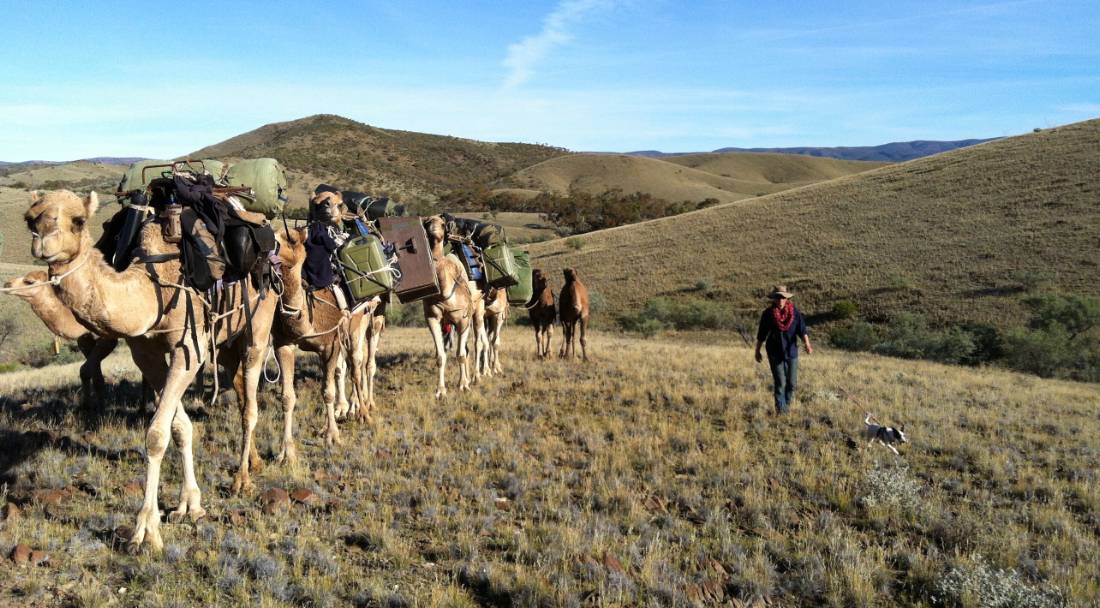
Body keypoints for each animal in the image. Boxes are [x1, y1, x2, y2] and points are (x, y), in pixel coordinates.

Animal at [1, 272, 119, 404]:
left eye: (29, 281)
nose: (7, 284)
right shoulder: (84, 338)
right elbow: (95, 375)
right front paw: (96, 404)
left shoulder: (109, 337)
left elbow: (85, 371)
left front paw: (90, 406)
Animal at [23, 192, 279, 551]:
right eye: (30, 218)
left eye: (78, 220)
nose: (42, 243)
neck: (151, 285)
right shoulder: (145, 352)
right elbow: (179, 427)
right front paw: (189, 505)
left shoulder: (190, 346)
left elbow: (156, 435)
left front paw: (145, 531)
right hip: (228, 340)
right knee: (241, 391)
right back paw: (254, 460)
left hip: (260, 322)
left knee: (251, 406)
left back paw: (242, 479)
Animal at [418, 214, 475, 398]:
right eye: (427, 223)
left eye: (443, 224)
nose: (434, 229)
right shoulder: (432, 319)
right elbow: (440, 356)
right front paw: (440, 391)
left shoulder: (463, 320)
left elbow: (461, 354)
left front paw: (463, 386)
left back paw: (473, 379)